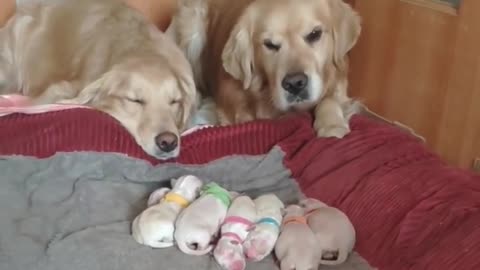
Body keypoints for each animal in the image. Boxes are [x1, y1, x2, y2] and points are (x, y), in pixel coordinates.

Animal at [169, 0, 360, 138]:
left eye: (315, 34)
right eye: (270, 45)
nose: (295, 84)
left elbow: (330, 99)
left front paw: (332, 125)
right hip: (192, 29)